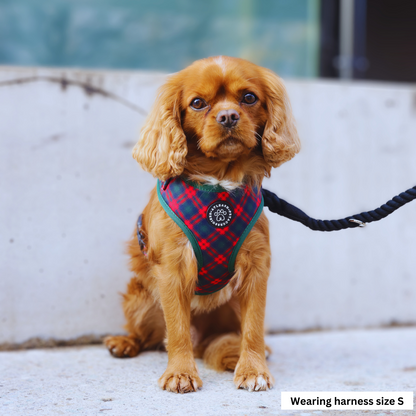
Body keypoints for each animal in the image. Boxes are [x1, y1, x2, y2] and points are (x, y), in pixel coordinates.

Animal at [103, 56, 300, 394]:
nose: (228, 116)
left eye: (249, 97)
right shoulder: (172, 268)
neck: (219, 183)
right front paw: (180, 373)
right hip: (139, 296)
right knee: (148, 336)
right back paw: (125, 342)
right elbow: (178, 330)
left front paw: (253, 369)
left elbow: (253, 326)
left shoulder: (256, 268)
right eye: (197, 103)